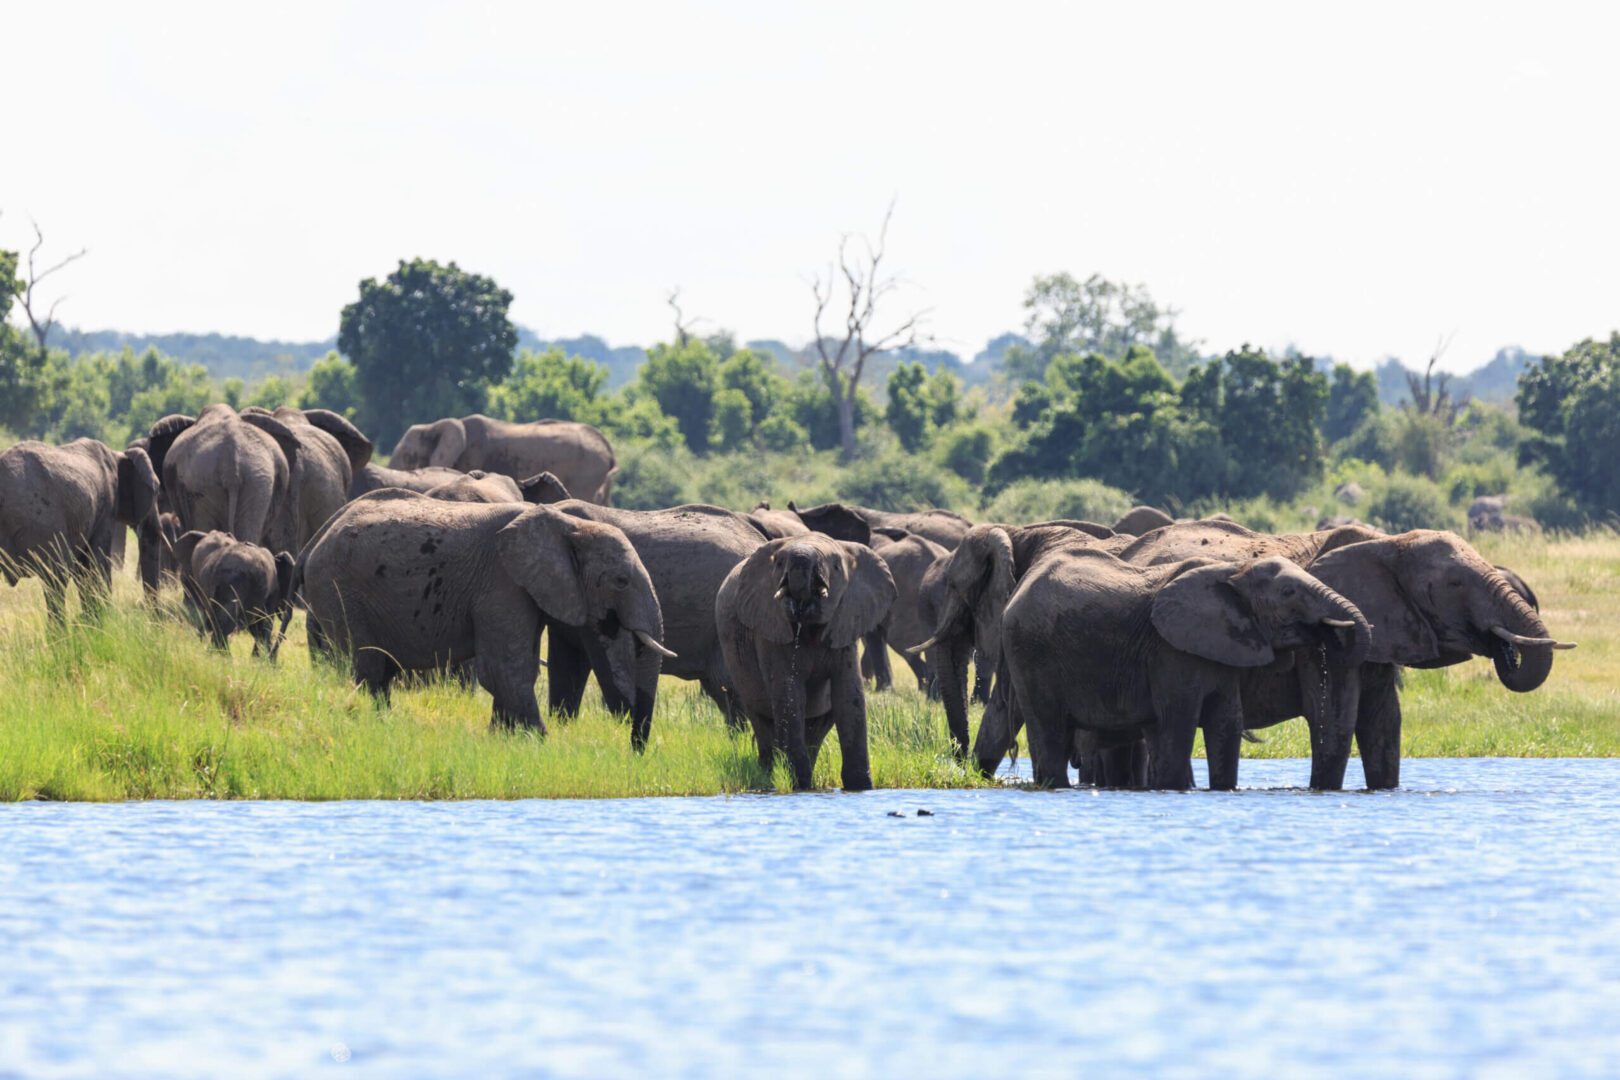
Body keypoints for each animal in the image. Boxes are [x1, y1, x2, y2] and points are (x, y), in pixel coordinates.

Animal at [0, 438, 159, 621]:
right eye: (156, 491)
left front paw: (90, 621)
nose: (151, 619)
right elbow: (97, 563)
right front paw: (101, 621)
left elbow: (83, 569)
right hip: (40, 518)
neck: (117, 454)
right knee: (57, 576)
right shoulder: (106, 507)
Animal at [297, 490, 671, 740]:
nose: (633, 749)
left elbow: (520, 667)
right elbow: (504, 669)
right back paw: (378, 725)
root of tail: (316, 539)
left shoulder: (526, 588)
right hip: (341, 588)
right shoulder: (502, 584)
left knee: (381, 669)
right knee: (370, 667)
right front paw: (540, 743)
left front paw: (502, 739)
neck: (570, 526)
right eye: (621, 581)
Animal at [716, 533, 895, 790]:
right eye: (779, 563)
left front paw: (860, 787)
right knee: (761, 721)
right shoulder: (769, 628)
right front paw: (798, 785)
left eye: (836, 566)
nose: (801, 601)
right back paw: (770, 776)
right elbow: (790, 693)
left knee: (816, 729)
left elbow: (849, 695)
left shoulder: (845, 622)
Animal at [1003, 551, 1371, 789]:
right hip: (1030, 652)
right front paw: (1176, 789)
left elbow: (1227, 721)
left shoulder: (1221, 647)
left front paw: (1222, 790)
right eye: (1288, 592)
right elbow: (1179, 718)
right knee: (1049, 728)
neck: (1233, 571)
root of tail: (1018, 590)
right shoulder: (1171, 650)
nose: (1333, 638)